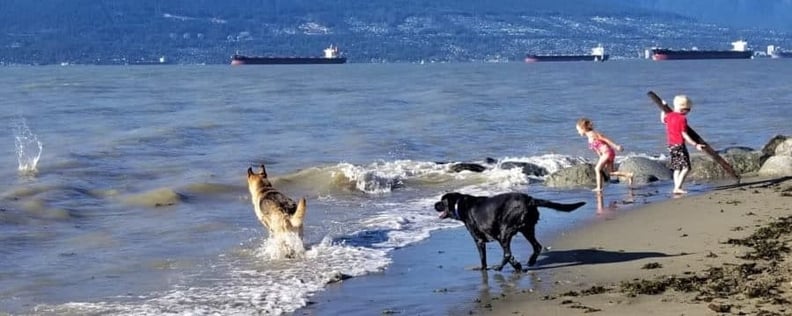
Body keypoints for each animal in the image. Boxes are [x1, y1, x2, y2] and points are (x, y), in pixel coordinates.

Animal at [436, 191, 584, 272]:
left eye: (442, 201)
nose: (434, 204)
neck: (459, 204)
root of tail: (529, 199)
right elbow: (512, 258)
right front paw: (518, 266)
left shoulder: (479, 240)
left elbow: (483, 259)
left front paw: (483, 269)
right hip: (527, 229)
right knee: (536, 246)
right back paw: (530, 261)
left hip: (505, 231)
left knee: (507, 253)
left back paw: (499, 268)